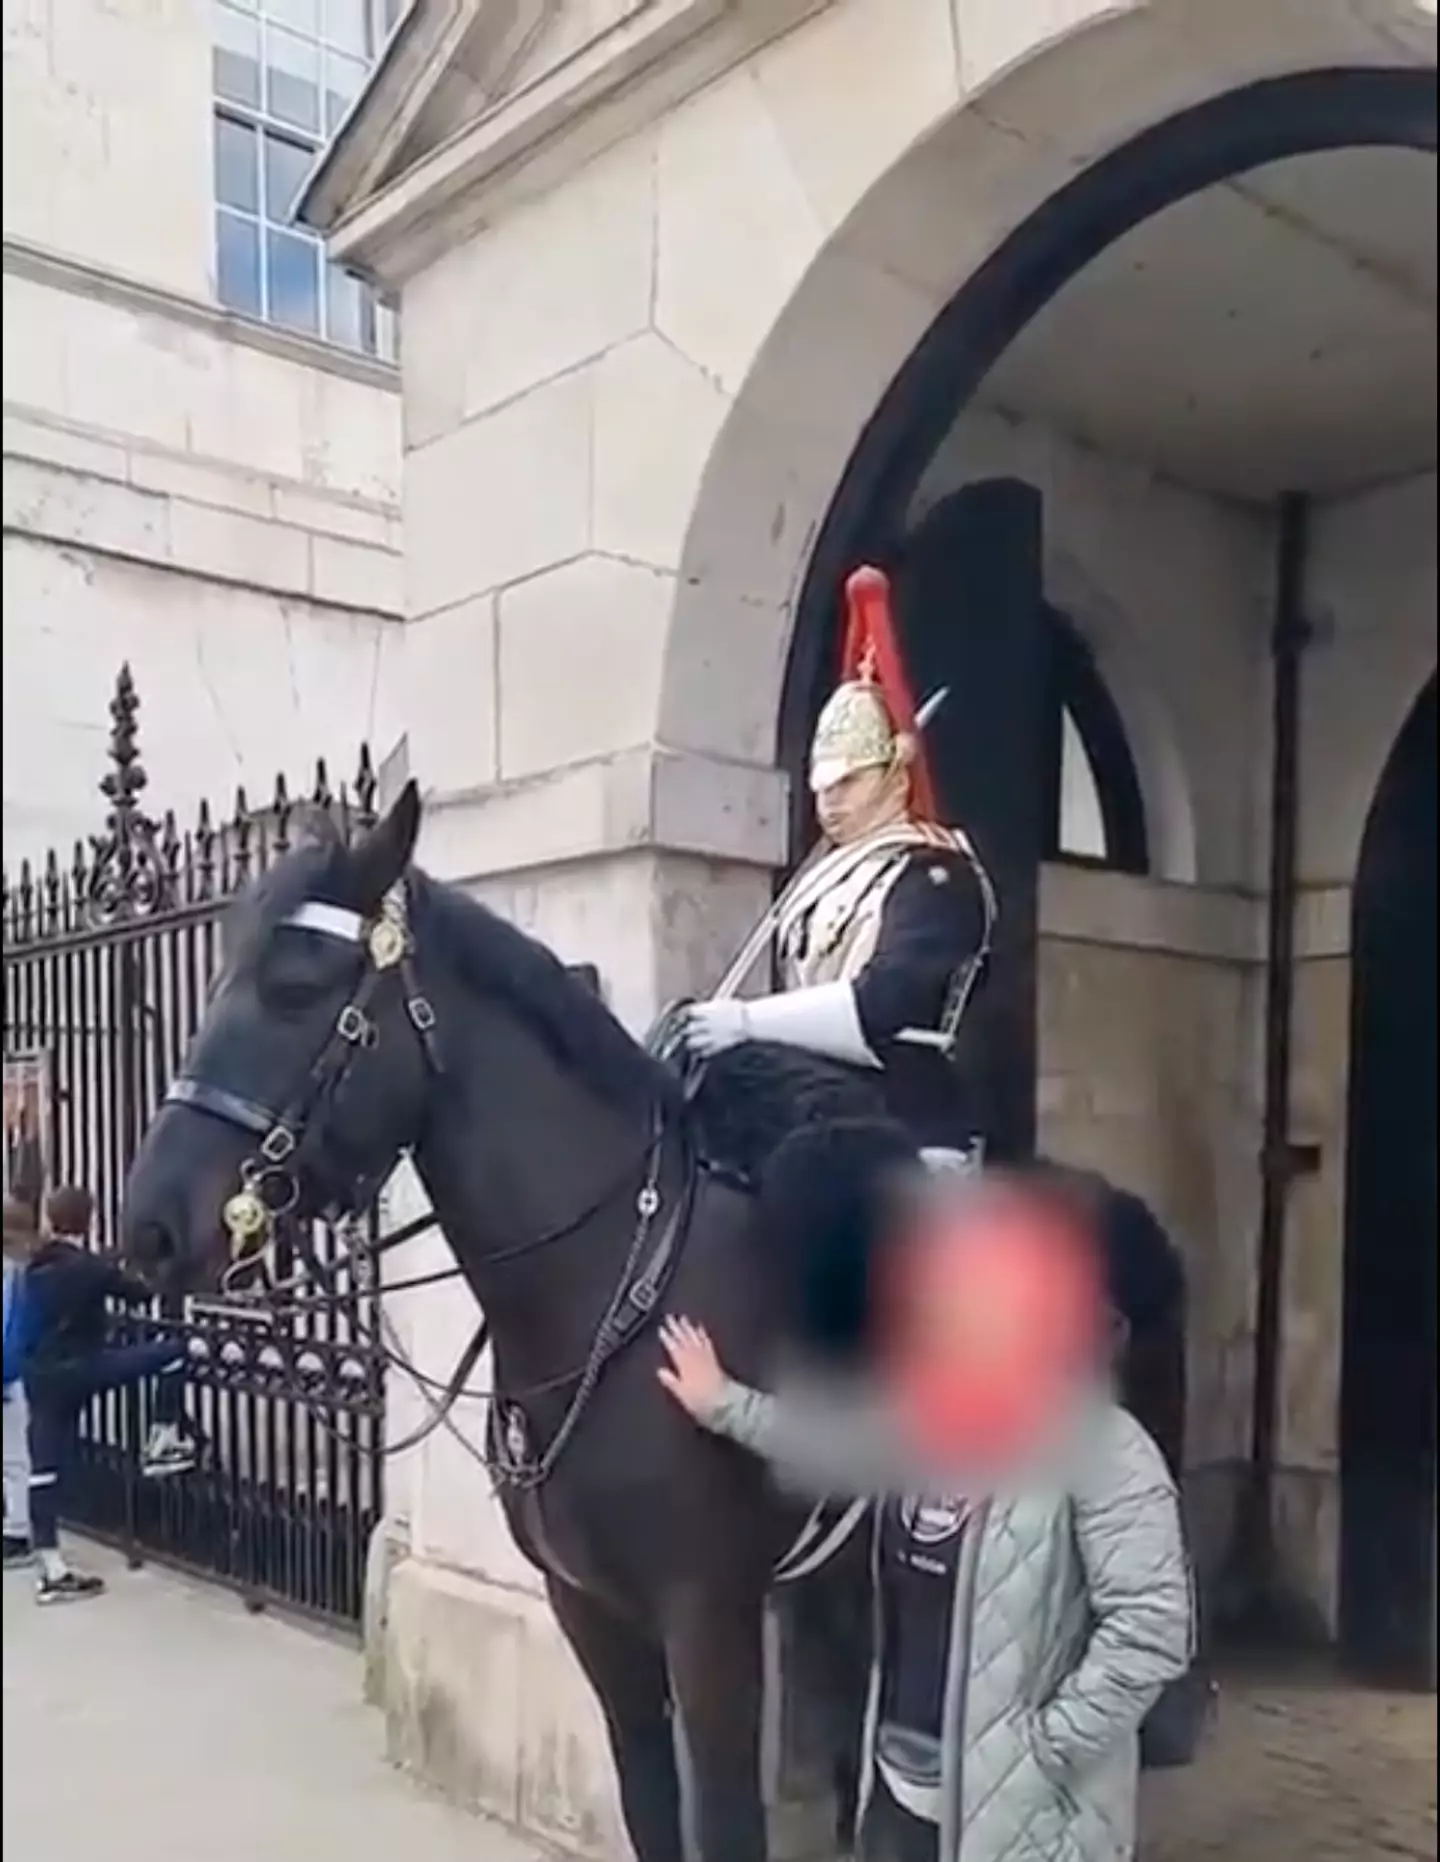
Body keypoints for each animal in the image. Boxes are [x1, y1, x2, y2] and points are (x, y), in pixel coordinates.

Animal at [121, 778, 1177, 1854]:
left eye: (296, 986)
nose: (150, 1227)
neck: (611, 1296)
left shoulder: (707, 1618)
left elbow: (723, 1815)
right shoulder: (593, 1613)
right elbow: (649, 1803)